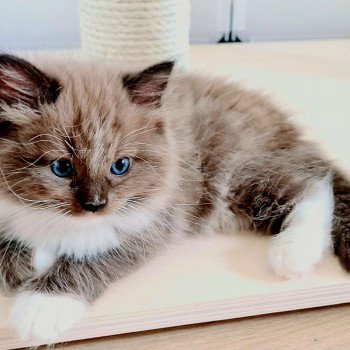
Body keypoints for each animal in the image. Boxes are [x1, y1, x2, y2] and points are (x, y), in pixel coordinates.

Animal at [0, 54, 348, 342]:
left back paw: (293, 252)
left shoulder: (153, 219)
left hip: (237, 176)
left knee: (314, 186)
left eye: (120, 166)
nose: (95, 205)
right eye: (61, 167)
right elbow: (10, 257)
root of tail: (282, 124)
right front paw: (33, 258)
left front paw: (42, 305)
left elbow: (92, 255)